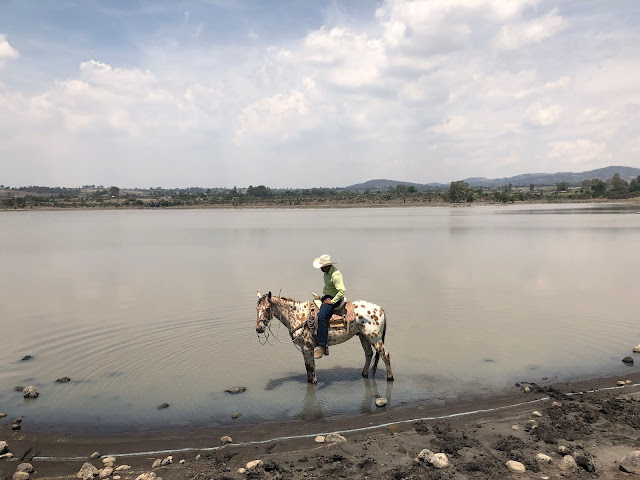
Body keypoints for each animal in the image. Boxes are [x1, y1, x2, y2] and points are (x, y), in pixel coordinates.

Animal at [256, 290, 396, 384]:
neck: (298, 315)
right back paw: (364, 374)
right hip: (363, 336)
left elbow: (311, 367)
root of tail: (379, 309)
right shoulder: (303, 348)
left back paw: (390, 378)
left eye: (267, 308)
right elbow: (307, 367)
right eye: (257, 309)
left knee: (385, 355)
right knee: (368, 354)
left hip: (374, 338)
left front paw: (313, 383)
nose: (258, 329)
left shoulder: (308, 347)